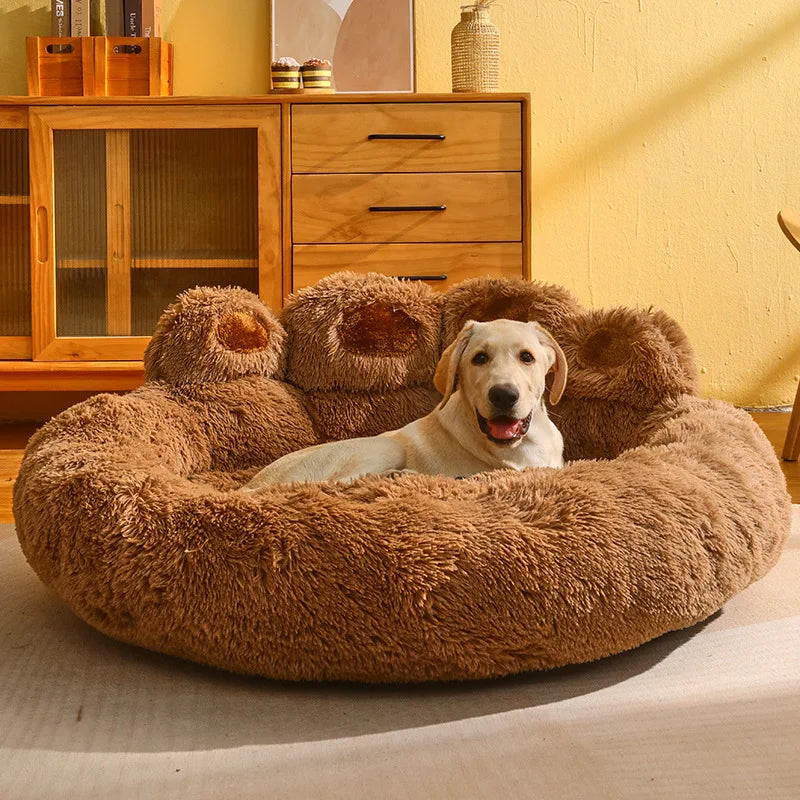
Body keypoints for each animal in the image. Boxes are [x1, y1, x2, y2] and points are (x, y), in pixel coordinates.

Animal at [241, 318, 564, 488]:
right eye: (479, 358)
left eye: (527, 357)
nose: (503, 395)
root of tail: (252, 486)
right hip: (385, 445)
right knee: (338, 484)